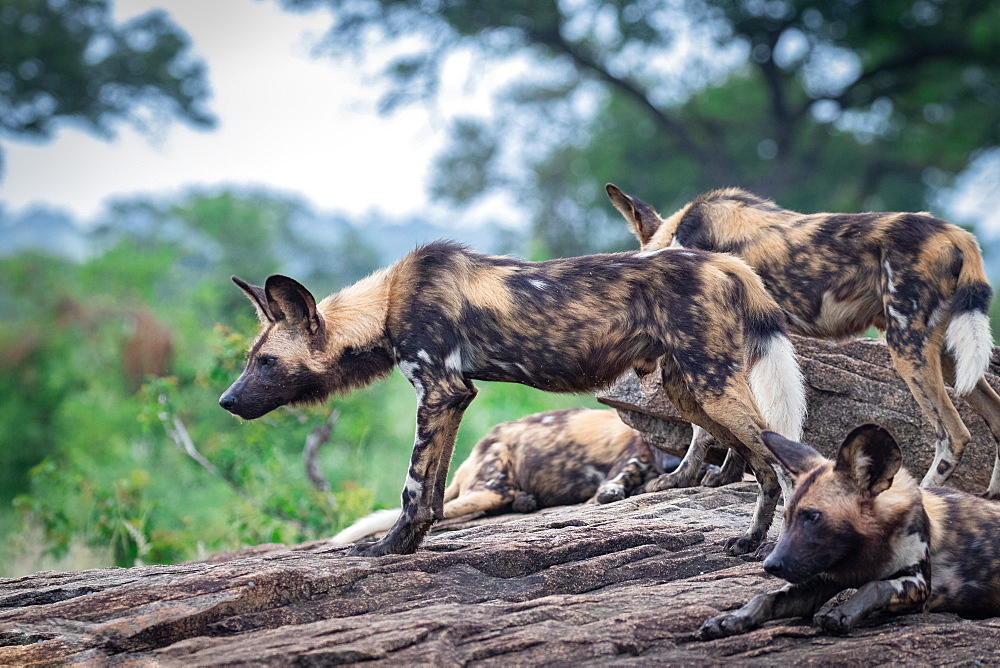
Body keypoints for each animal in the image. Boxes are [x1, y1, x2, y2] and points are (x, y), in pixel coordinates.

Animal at [328, 408, 680, 544]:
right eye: (659, 434)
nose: (671, 464)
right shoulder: (623, 467)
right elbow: (613, 486)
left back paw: (527, 501)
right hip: (491, 487)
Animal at [608, 183, 1000, 496]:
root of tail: (955, 233)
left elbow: (702, 431)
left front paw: (681, 478)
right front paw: (727, 475)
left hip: (906, 345)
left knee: (953, 435)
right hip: (946, 353)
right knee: (993, 417)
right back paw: (991, 496)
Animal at [700, 426, 1000, 640]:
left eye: (812, 517)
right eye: (786, 518)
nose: (769, 565)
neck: (863, 553)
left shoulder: (918, 585)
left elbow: (875, 585)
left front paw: (842, 612)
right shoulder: (817, 577)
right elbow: (766, 598)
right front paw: (732, 619)